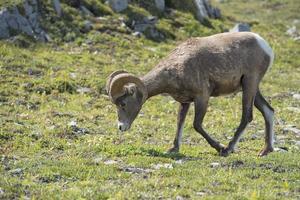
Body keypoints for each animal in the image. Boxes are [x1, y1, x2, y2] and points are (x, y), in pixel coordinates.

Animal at [106, 31, 276, 156]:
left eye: (123, 103)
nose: (121, 127)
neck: (176, 67)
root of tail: (264, 46)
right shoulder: (185, 102)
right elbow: (180, 122)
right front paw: (173, 149)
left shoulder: (202, 97)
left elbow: (196, 125)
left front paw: (219, 147)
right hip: (252, 88)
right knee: (268, 111)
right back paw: (265, 151)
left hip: (249, 84)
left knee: (247, 116)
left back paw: (228, 149)